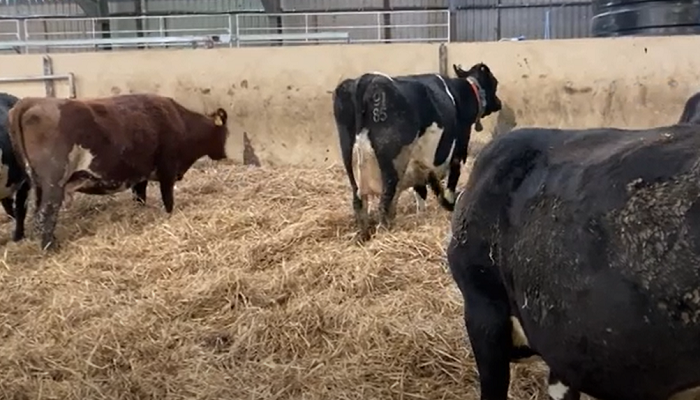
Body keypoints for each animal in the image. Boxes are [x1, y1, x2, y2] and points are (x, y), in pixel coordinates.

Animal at [8, 93, 234, 251]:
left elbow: (140, 197)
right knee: (45, 214)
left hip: (38, 185)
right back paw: (50, 248)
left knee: (39, 215)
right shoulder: (167, 170)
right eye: (225, 133)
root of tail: (31, 102)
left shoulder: (141, 175)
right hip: (54, 183)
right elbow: (168, 200)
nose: (224, 154)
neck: (181, 121)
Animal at [333, 62, 502, 242]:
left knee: (359, 204)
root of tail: (365, 80)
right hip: (392, 164)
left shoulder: (418, 163)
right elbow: (450, 184)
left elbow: (420, 191)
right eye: (494, 83)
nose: (499, 103)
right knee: (385, 204)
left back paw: (363, 235)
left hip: (350, 161)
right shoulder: (458, 152)